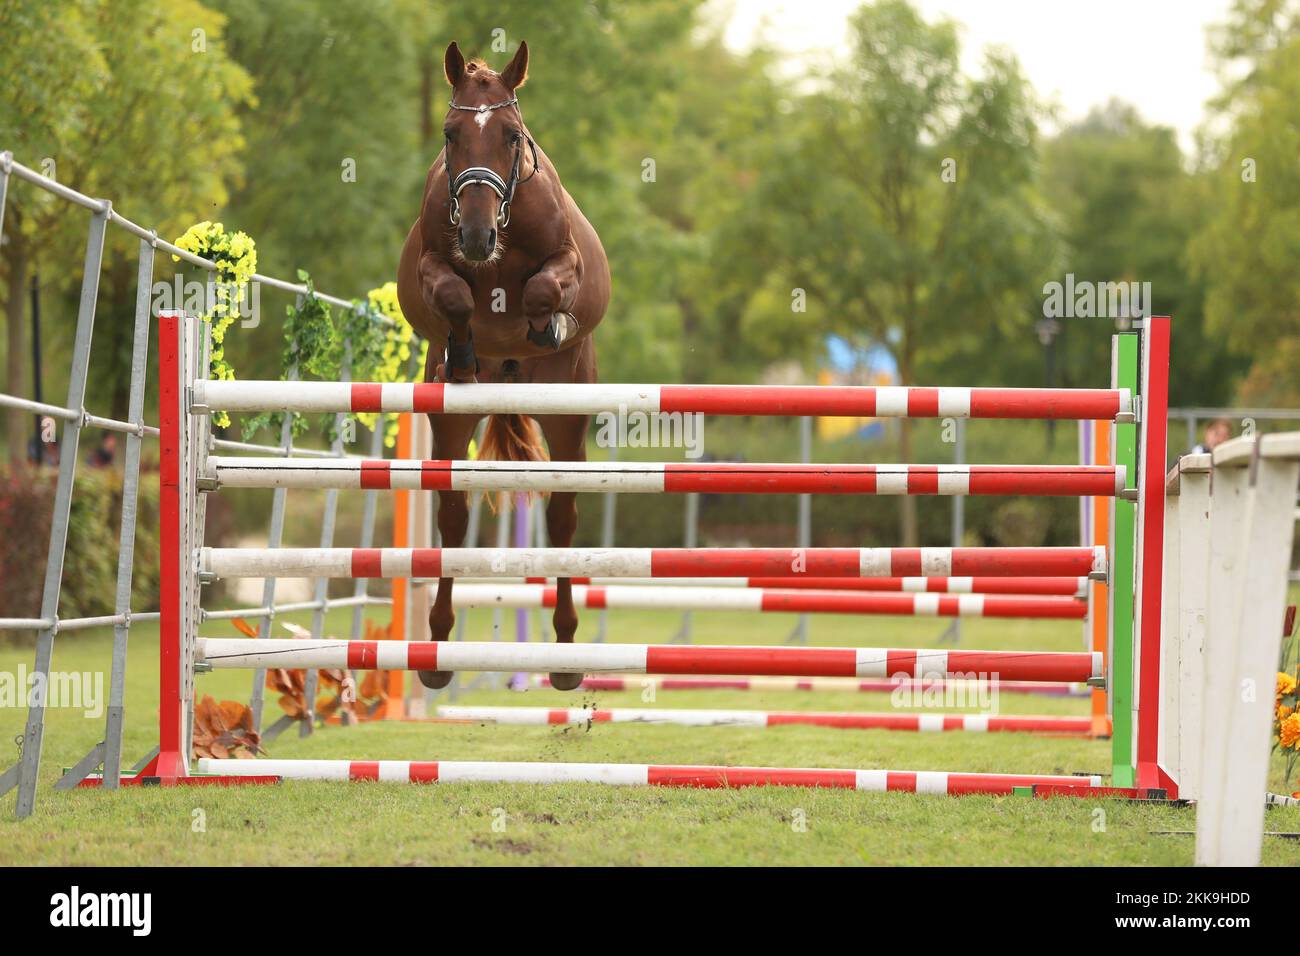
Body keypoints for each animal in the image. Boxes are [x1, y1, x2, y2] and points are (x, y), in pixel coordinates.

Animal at [396, 40, 611, 692]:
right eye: (450, 134)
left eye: (512, 135)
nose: (475, 234)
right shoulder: (432, 265)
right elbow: (453, 295)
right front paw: (464, 349)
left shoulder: (567, 260)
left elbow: (544, 288)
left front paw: (546, 323)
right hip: (450, 425)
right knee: (452, 519)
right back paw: (438, 652)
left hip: (567, 416)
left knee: (563, 520)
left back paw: (564, 657)